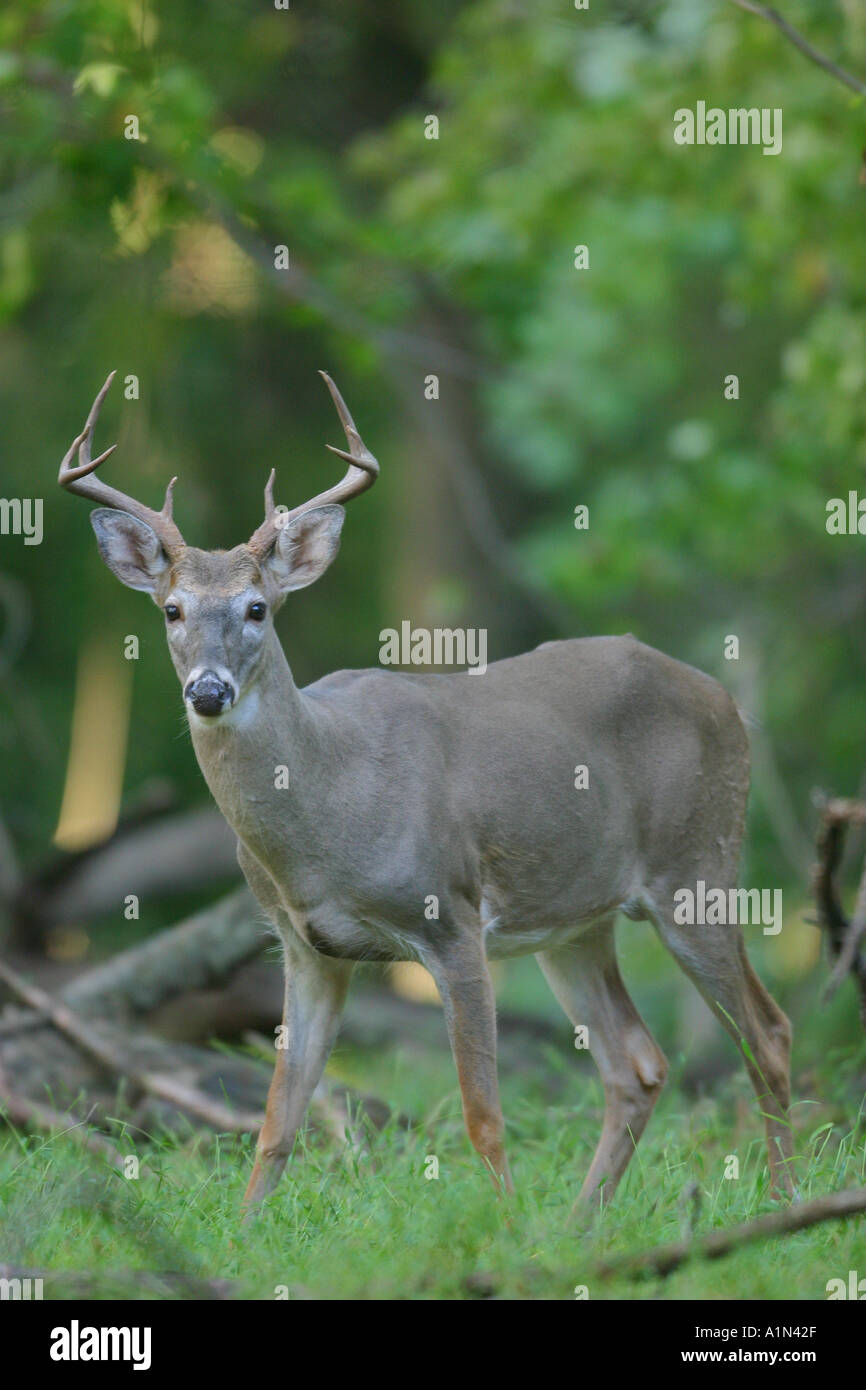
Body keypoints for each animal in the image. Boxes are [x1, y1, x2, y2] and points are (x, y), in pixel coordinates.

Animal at [57, 375, 795, 1212]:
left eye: (257, 608)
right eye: (172, 609)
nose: (207, 691)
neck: (326, 815)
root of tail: (726, 701)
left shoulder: (452, 918)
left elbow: (483, 1116)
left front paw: (505, 1224)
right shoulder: (304, 947)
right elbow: (279, 1120)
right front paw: (245, 1226)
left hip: (697, 866)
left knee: (767, 1033)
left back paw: (781, 1202)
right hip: (577, 922)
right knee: (637, 1062)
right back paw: (582, 1222)